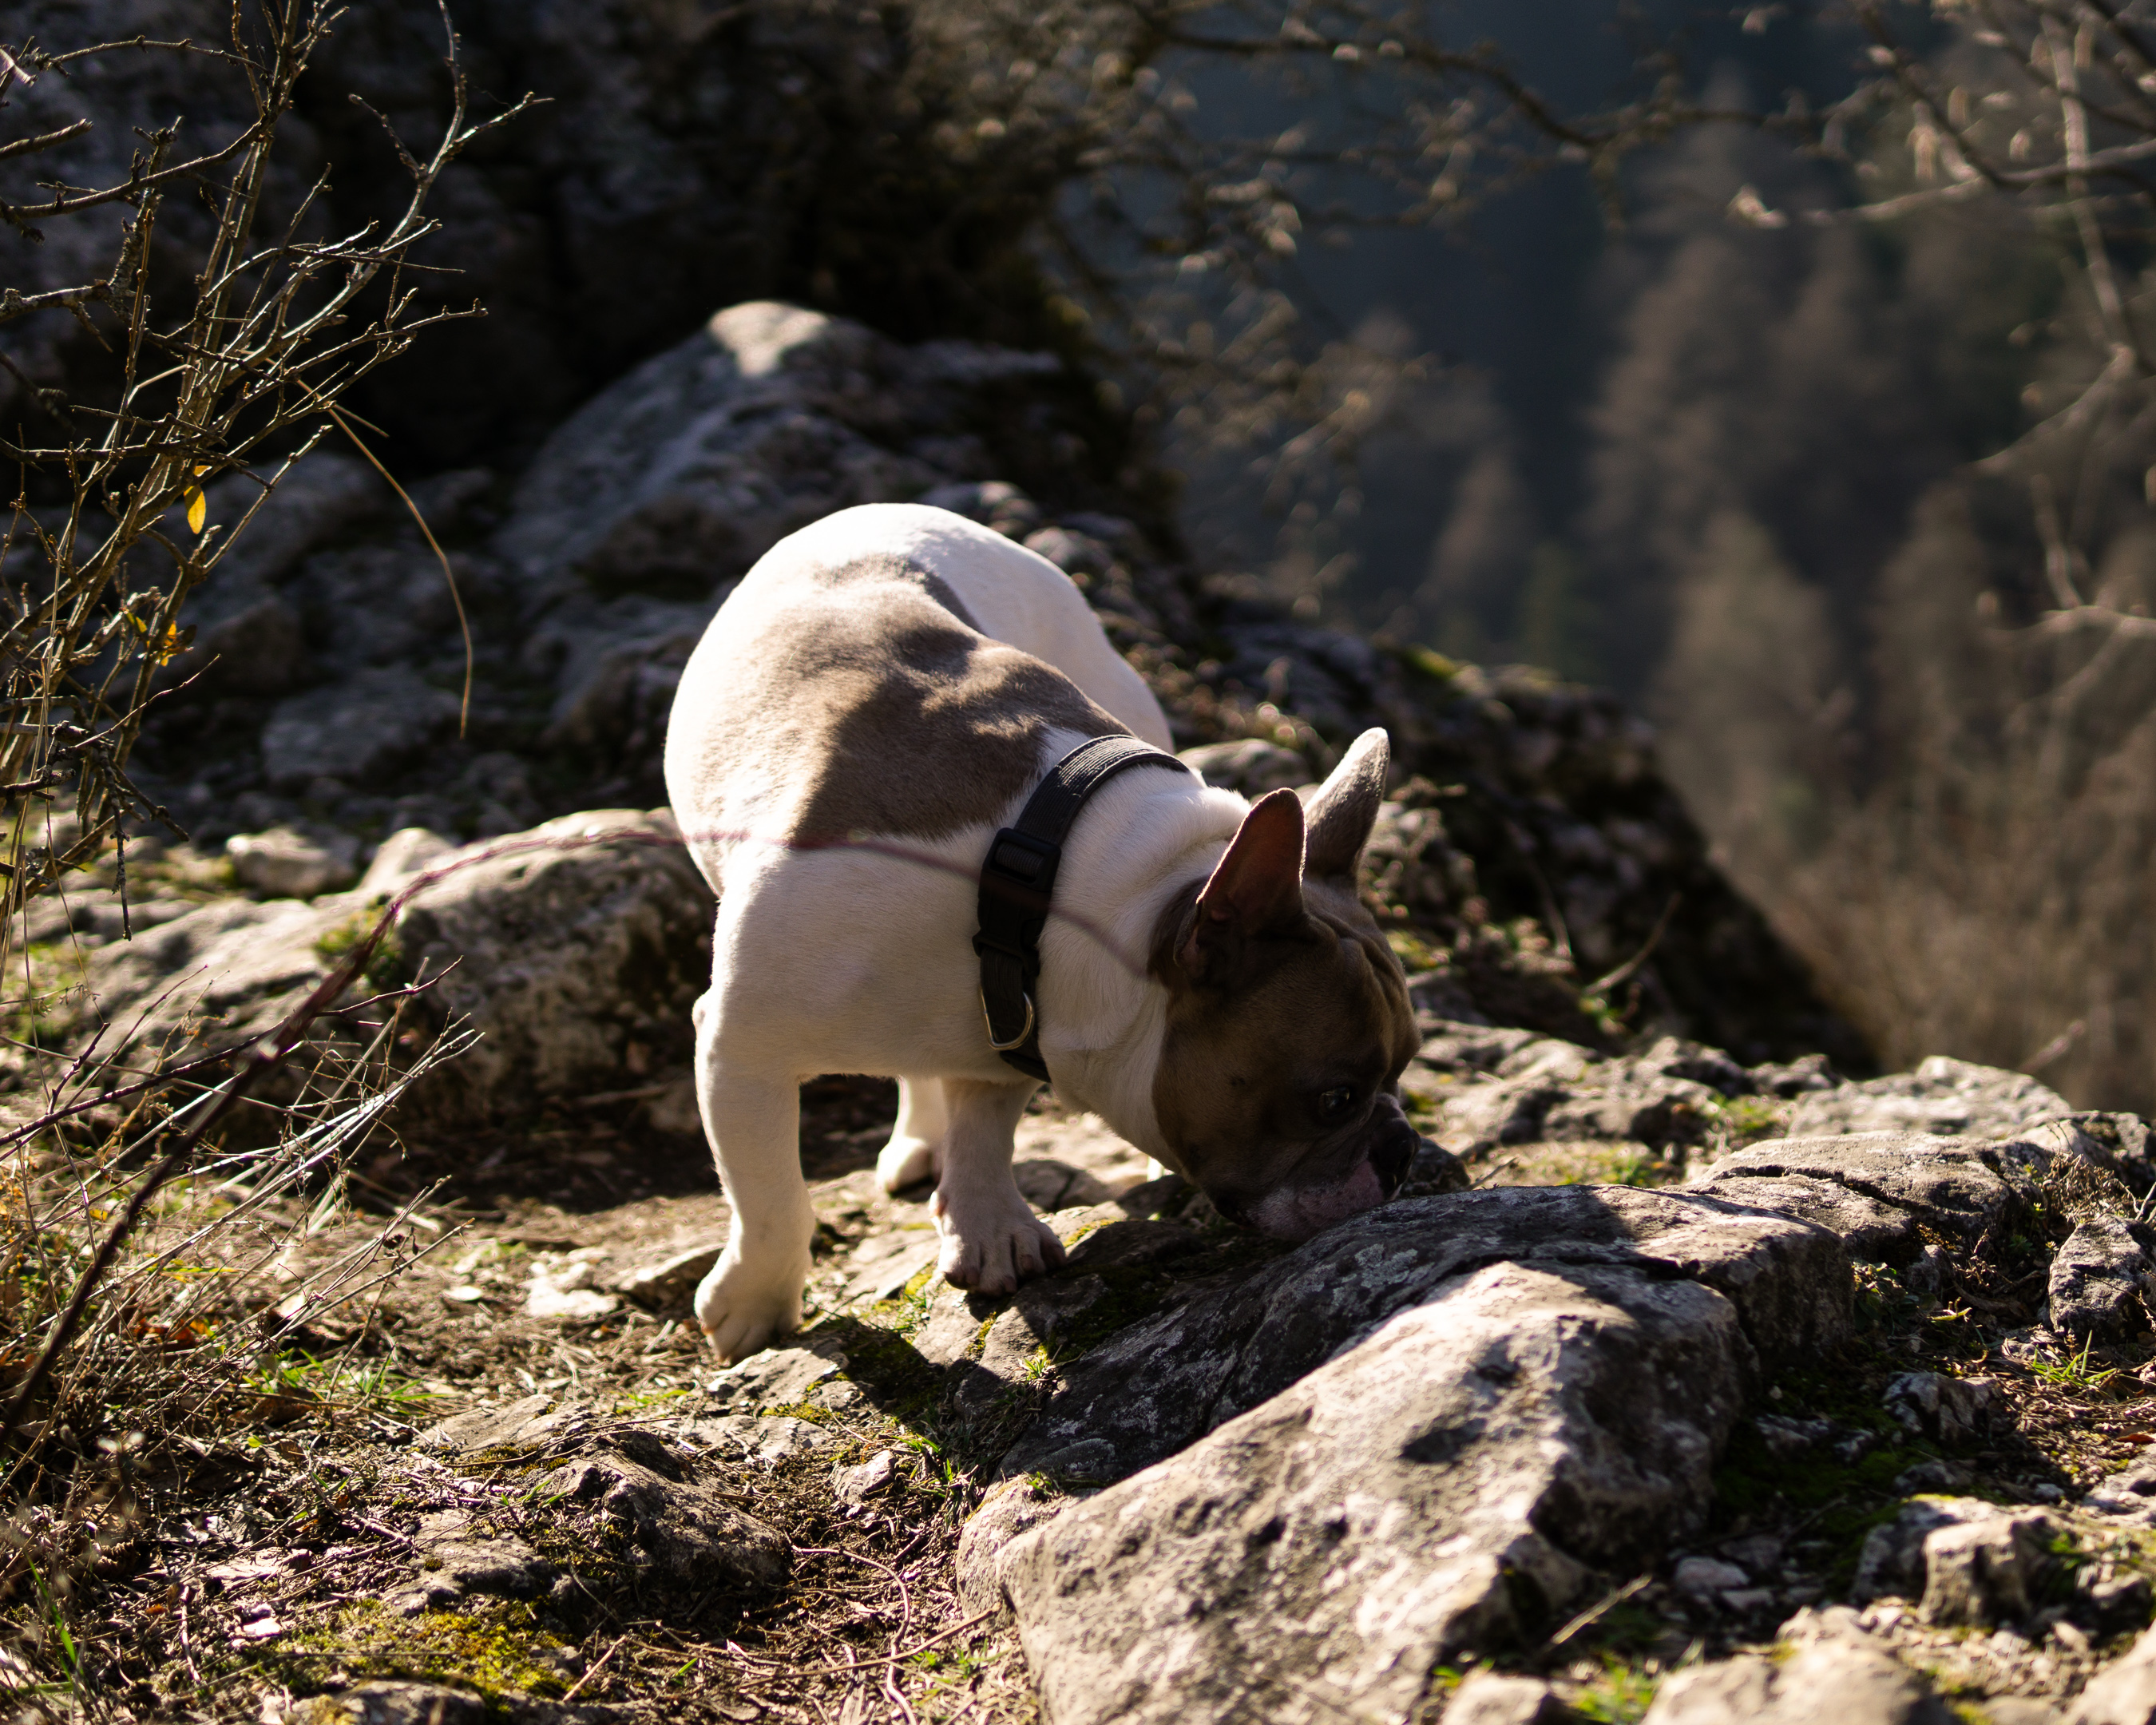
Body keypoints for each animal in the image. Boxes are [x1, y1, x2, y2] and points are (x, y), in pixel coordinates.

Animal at [664, 502, 1424, 1362]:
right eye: (1334, 1099)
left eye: (1406, 1066)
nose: (1403, 1151)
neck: (1069, 880)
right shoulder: (743, 1047)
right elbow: (769, 1193)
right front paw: (757, 1300)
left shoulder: (1011, 1018)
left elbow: (985, 1117)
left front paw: (987, 1220)